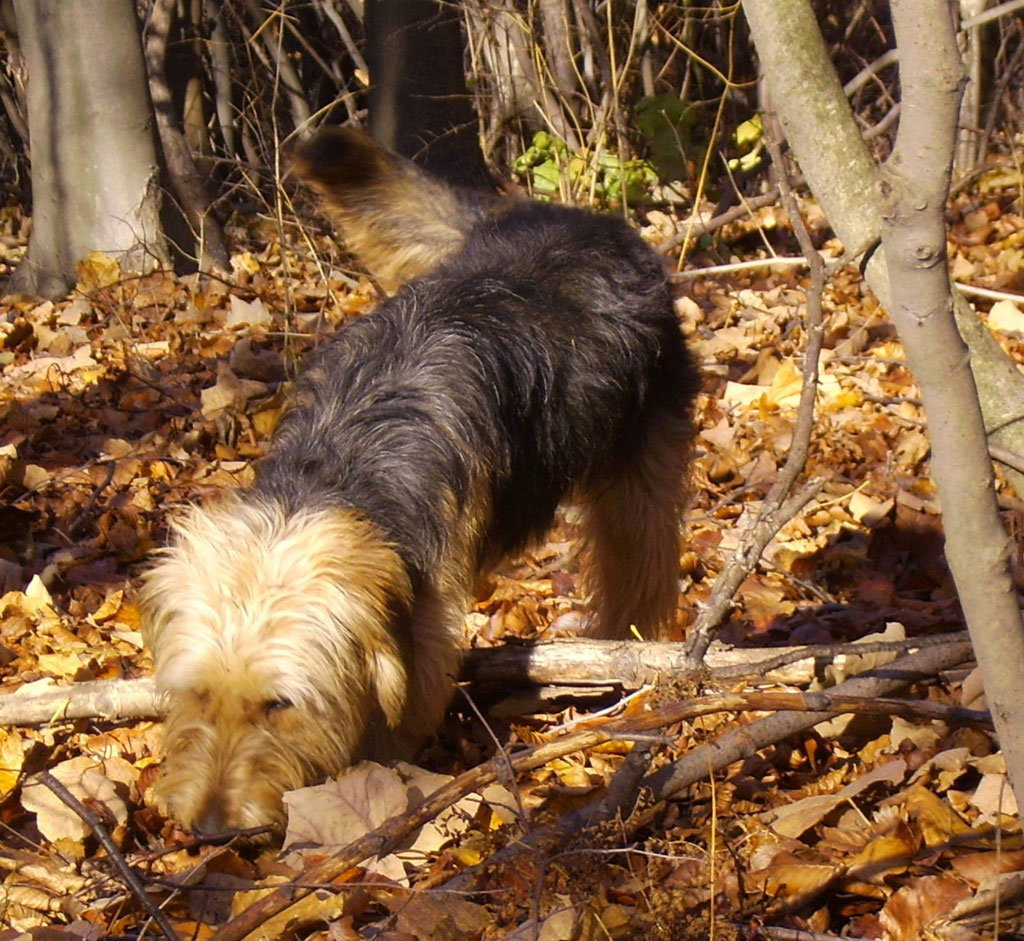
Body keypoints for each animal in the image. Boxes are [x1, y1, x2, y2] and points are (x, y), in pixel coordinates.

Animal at [140, 129, 700, 835]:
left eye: (280, 705)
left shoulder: (425, 637)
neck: (340, 466)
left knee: (641, 559)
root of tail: (580, 218)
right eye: (197, 694)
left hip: (642, 465)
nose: (211, 828)